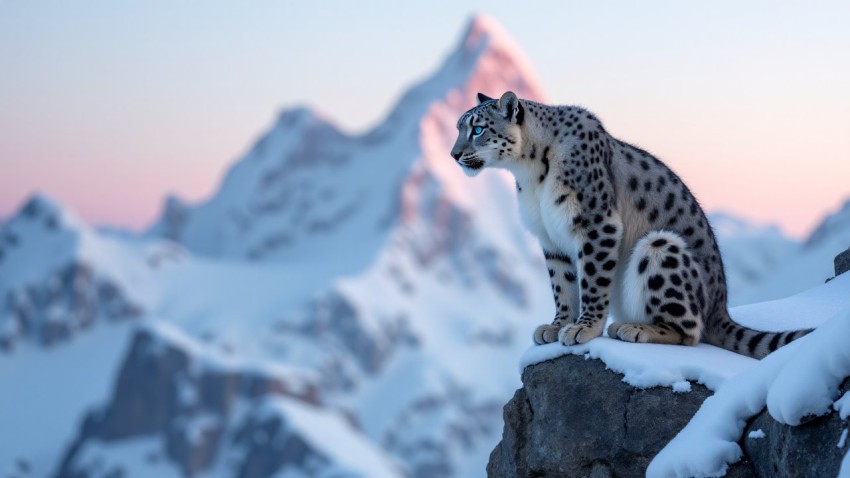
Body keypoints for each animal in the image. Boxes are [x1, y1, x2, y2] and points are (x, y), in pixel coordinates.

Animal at [448, 91, 812, 356]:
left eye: (478, 129)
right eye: (458, 128)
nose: (453, 154)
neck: (530, 176)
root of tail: (721, 307)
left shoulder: (596, 223)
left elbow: (592, 282)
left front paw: (583, 328)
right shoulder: (551, 239)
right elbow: (562, 286)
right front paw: (556, 325)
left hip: (661, 248)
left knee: (691, 330)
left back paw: (633, 329)